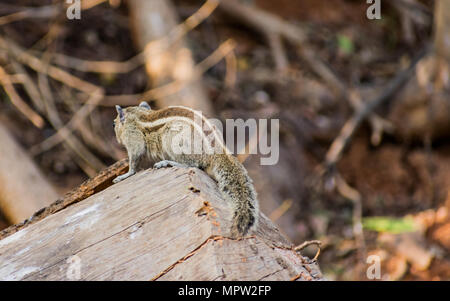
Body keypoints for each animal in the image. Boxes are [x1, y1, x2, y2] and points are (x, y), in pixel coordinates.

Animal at [112, 101, 260, 237]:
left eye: (114, 124)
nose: (113, 124)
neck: (137, 114)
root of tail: (217, 150)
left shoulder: (133, 138)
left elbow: (134, 160)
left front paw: (124, 175)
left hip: (173, 138)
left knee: (193, 164)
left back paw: (168, 162)